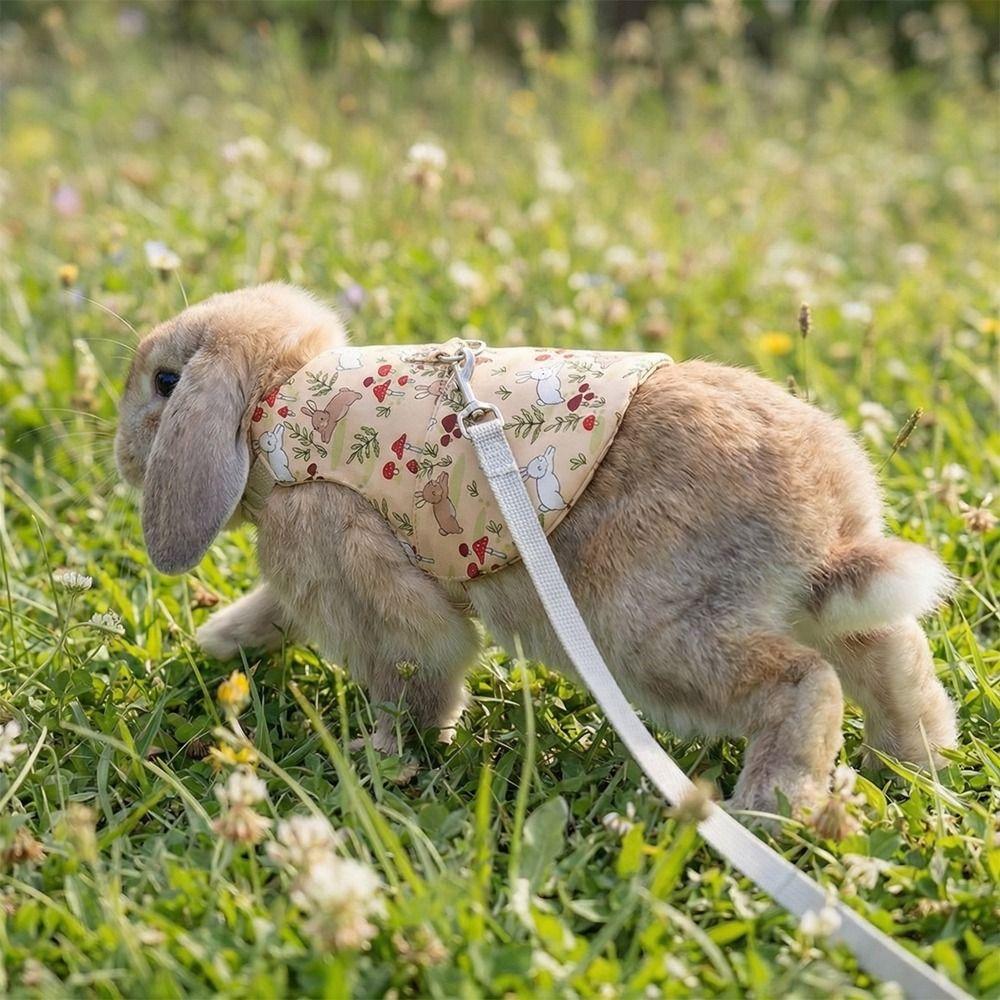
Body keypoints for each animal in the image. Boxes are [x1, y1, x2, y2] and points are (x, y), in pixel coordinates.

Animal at [115, 283, 958, 810]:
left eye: (166, 383)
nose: (122, 458)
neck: (275, 406)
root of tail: (829, 529)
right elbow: (274, 610)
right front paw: (222, 639)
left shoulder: (360, 570)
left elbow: (415, 674)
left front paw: (380, 756)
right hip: (824, 610)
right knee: (888, 655)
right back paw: (911, 762)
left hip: (646, 633)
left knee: (803, 680)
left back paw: (771, 805)